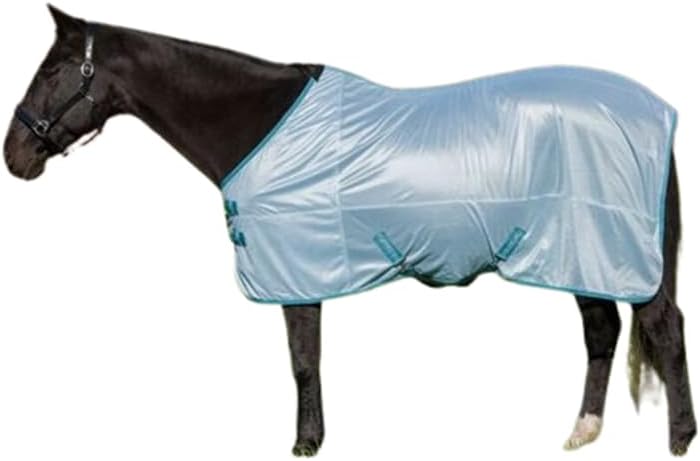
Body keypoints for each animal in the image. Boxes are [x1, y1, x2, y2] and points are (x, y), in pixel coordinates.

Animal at [3, 6, 696, 457]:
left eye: (52, 71)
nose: (15, 156)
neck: (260, 125)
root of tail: (657, 114)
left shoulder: (297, 268)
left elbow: (302, 362)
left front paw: (306, 443)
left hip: (610, 250)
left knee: (663, 328)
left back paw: (678, 440)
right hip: (580, 250)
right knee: (603, 331)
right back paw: (582, 430)